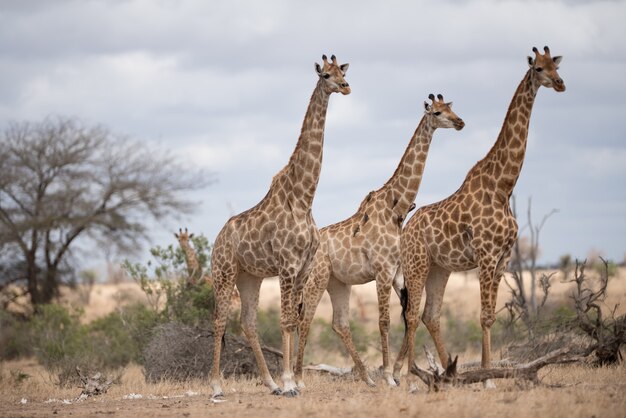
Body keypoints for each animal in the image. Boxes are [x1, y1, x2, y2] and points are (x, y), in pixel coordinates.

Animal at [207, 55, 348, 398]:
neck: (304, 198)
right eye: (326, 75)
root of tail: (218, 237)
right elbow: (285, 321)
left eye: (342, 72)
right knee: (219, 321)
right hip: (224, 271)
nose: (345, 87)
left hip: (250, 277)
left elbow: (295, 320)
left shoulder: (303, 268)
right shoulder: (287, 265)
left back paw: (268, 383)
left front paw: (291, 380)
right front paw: (288, 383)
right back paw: (216, 386)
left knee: (248, 322)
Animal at [292, 94, 464, 388]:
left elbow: (408, 317)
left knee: (339, 323)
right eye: (438, 113)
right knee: (306, 318)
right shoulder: (382, 270)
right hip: (318, 277)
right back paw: (299, 377)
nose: (460, 122)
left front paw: (395, 372)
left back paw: (365, 378)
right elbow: (384, 321)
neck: (396, 208)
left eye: (452, 108)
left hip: (339, 282)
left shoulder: (397, 272)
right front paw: (389, 376)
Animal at [394, 45, 564, 388]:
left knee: (430, 314)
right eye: (539, 68)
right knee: (412, 313)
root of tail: (406, 229)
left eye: (556, 65)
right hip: (417, 265)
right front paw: (487, 379)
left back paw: (450, 373)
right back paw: (410, 376)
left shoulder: (504, 257)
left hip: (440, 268)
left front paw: (483, 376)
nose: (560, 83)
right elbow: (484, 315)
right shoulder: (486, 254)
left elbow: (490, 316)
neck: (503, 186)